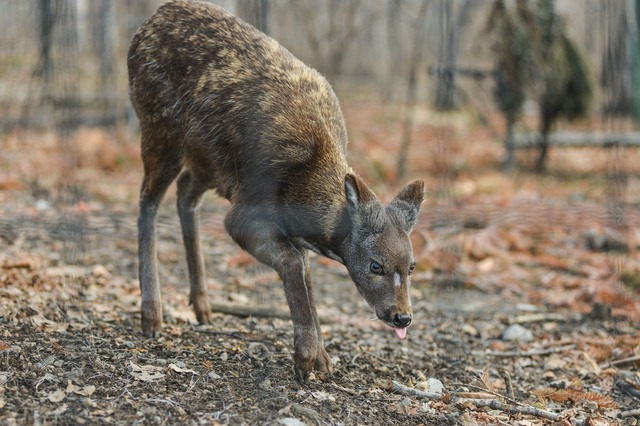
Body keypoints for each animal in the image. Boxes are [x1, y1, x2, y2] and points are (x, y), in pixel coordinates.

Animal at [126, 0, 424, 380]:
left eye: (412, 266)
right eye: (375, 265)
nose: (402, 316)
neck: (303, 185)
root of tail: (148, 23)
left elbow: (306, 271)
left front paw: (322, 358)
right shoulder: (243, 214)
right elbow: (293, 262)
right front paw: (306, 356)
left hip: (208, 163)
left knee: (184, 194)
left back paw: (201, 305)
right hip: (159, 130)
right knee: (147, 202)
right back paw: (152, 313)